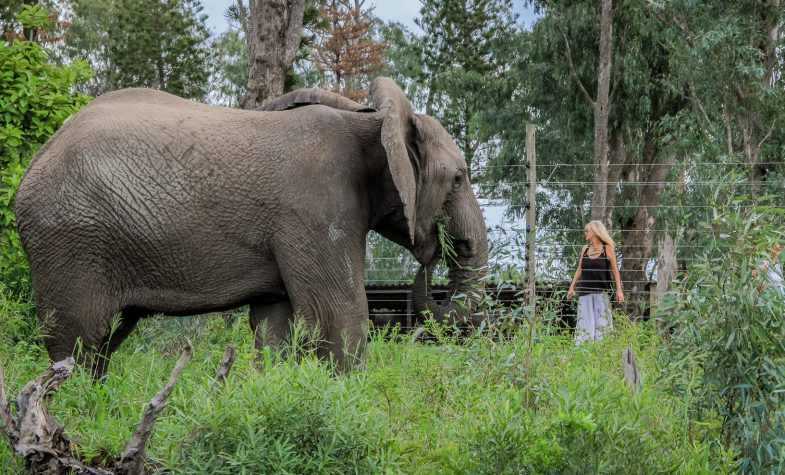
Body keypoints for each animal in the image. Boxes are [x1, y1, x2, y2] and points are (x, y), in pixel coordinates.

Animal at [15, 77, 486, 376]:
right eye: (458, 179)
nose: (435, 252)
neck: (369, 118)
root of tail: (35, 159)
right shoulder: (315, 209)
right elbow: (340, 315)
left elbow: (274, 324)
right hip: (71, 239)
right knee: (79, 340)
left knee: (104, 342)